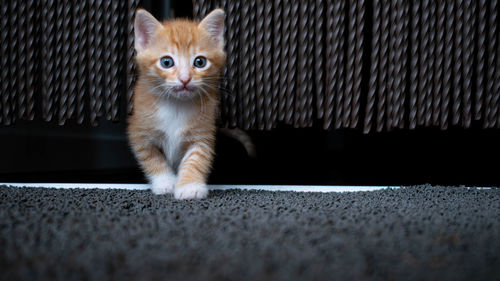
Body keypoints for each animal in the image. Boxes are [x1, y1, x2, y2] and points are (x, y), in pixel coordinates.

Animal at [128, 8, 226, 199]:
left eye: (200, 62)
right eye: (166, 62)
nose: (185, 79)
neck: (176, 105)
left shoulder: (202, 133)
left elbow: (196, 159)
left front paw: (190, 186)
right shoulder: (139, 132)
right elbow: (152, 158)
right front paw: (165, 183)